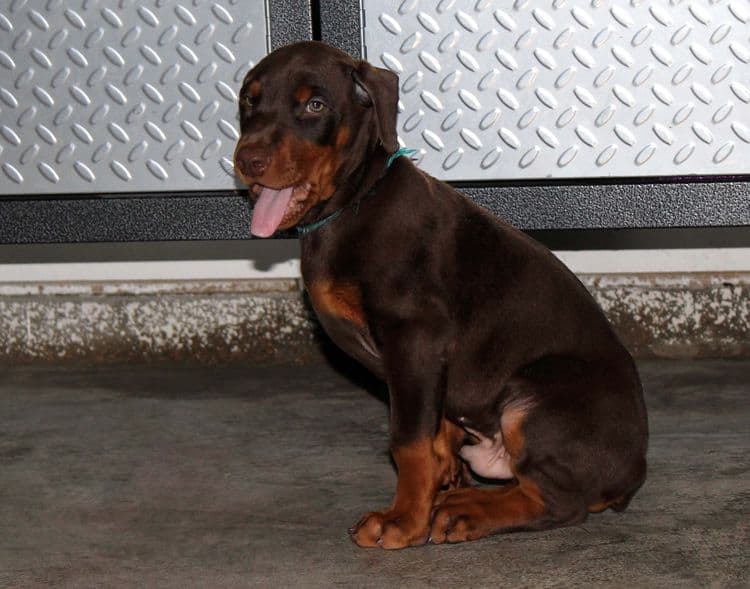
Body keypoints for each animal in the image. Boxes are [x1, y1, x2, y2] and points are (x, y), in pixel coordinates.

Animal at [236, 40, 652, 548]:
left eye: (315, 105)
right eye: (250, 100)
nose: (248, 160)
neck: (353, 204)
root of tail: (633, 473)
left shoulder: (415, 338)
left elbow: (408, 440)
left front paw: (403, 520)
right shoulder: (428, 369)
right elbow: (434, 436)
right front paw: (437, 483)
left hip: (533, 402)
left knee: (558, 503)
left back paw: (469, 512)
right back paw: (462, 498)